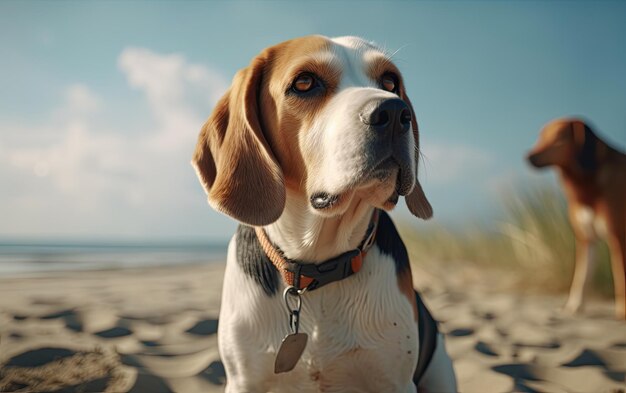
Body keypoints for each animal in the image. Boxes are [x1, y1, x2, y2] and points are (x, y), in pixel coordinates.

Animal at [528, 118, 624, 318]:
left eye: (558, 137)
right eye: (541, 136)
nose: (529, 156)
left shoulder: (617, 236)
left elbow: (620, 275)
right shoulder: (585, 239)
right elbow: (581, 277)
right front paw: (573, 307)